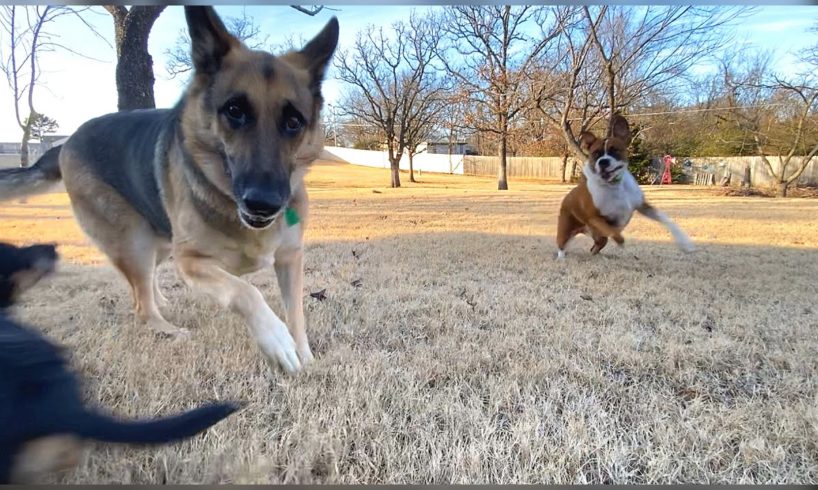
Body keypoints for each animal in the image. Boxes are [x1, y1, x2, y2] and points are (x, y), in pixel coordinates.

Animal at [0, 7, 338, 374]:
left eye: (294, 122)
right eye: (234, 111)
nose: (264, 204)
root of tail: (65, 142)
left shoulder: (290, 258)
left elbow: (296, 313)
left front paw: (305, 355)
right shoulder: (190, 263)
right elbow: (245, 291)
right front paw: (277, 341)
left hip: (157, 242)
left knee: (142, 285)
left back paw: (160, 299)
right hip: (134, 240)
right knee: (141, 306)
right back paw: (169, 329)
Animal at [552, 114, 692, 260]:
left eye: (615, 150)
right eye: (596, 153)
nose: (603, 161)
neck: (615, 185)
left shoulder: (642, 206)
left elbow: (666, 220)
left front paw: (684, 242)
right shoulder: (595, 218)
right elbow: (610, 229)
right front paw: (620, 240)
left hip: (598, 237)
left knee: (596, 245)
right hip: (566, 230)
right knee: (562, 245)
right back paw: (562, 258)